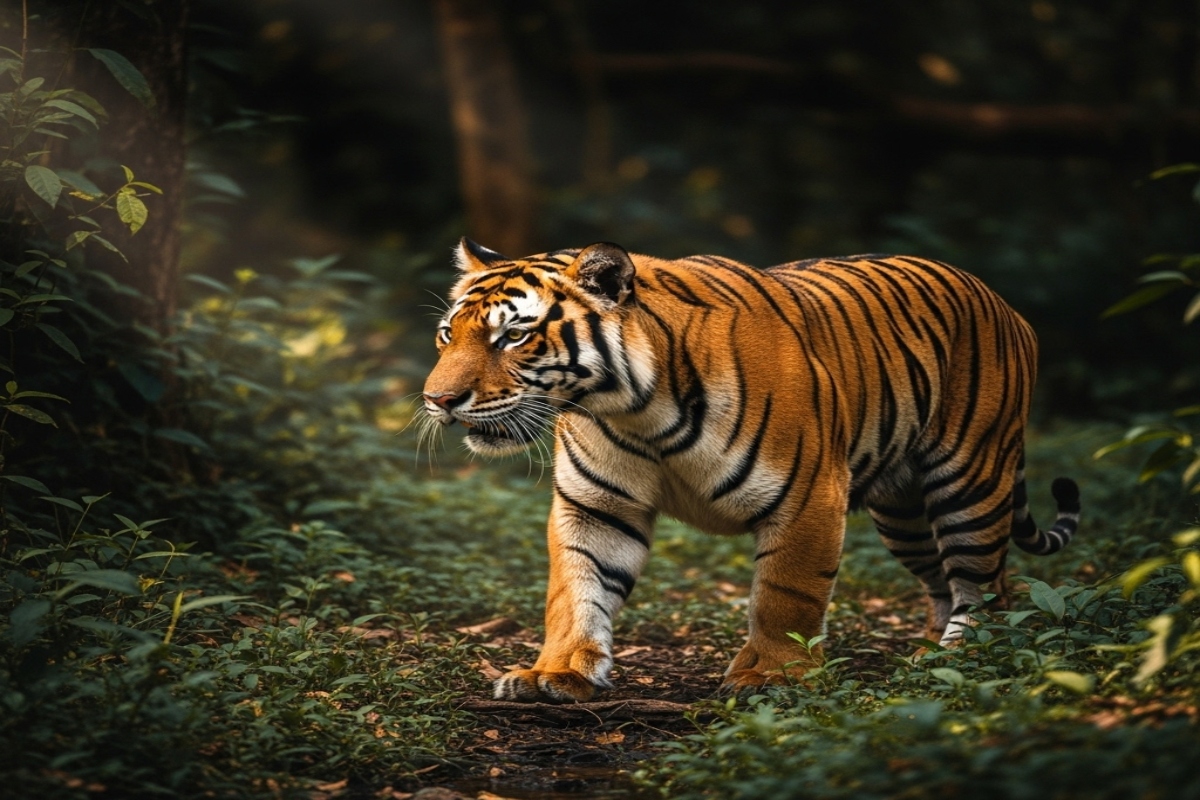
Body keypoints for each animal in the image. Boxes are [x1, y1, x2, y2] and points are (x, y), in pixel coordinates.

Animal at [422, 237, 1081, 703]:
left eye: (513, 336)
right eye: (447, 334)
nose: (438, 400)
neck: (633, 410)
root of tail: (1000, 299)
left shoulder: (809, 496)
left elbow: (786, 595)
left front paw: (773, 678)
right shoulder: (596, 506)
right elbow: (575, 589)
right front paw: (555, 673)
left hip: (968, 483)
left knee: (985, 583)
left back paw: (967, 658)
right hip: (905, 513)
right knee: (950, 582)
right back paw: (929, 656)